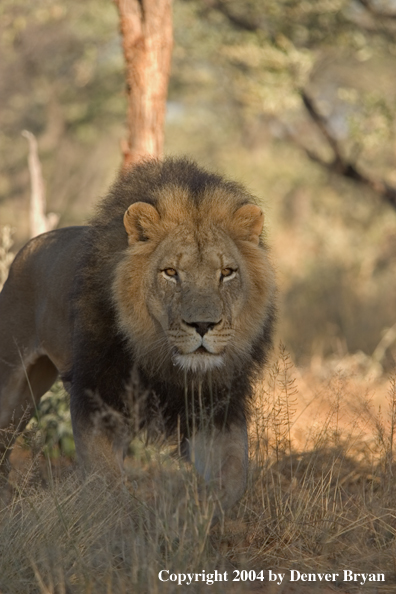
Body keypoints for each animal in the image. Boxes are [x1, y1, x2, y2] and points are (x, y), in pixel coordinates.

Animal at [0, 158, 276, 512]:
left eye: (226, 273)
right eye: (171, 272)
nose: (203, 326)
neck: (162, 360)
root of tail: (25, 249)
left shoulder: (216, 410)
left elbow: (234, 475)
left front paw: (202, 511)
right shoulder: (97, 401)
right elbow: (107, 480)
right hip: (11, 382)